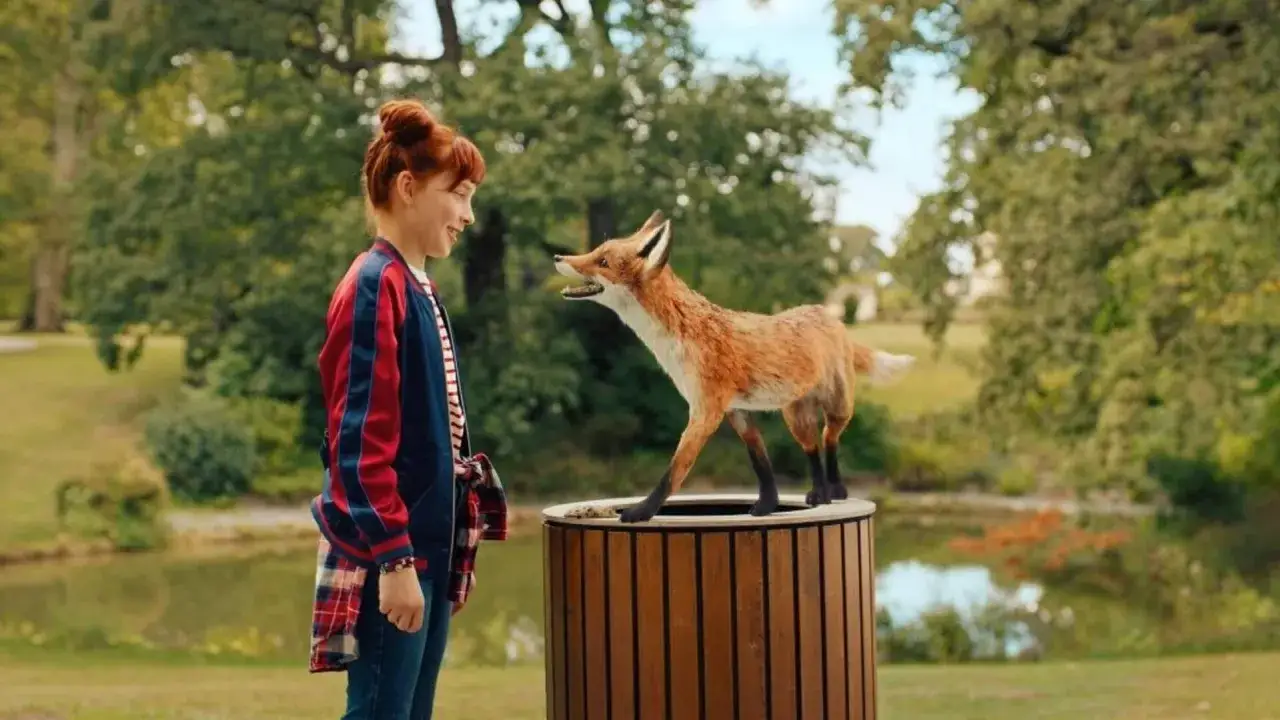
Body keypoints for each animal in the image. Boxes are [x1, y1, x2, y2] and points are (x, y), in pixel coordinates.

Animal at [554, 210, 916, 523]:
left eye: (602, 261)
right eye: (595, 250)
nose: (559, 258)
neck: (681, 336)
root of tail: (830, 315)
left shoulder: (706, 412)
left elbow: (674, 472)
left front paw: (641, 511)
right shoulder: (736, 411)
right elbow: (761, 464)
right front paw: (766, 506)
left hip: (839, 407)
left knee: (830, 439)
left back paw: (836, 490)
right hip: (795, 417)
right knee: (812, 448)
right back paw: (819, 494)